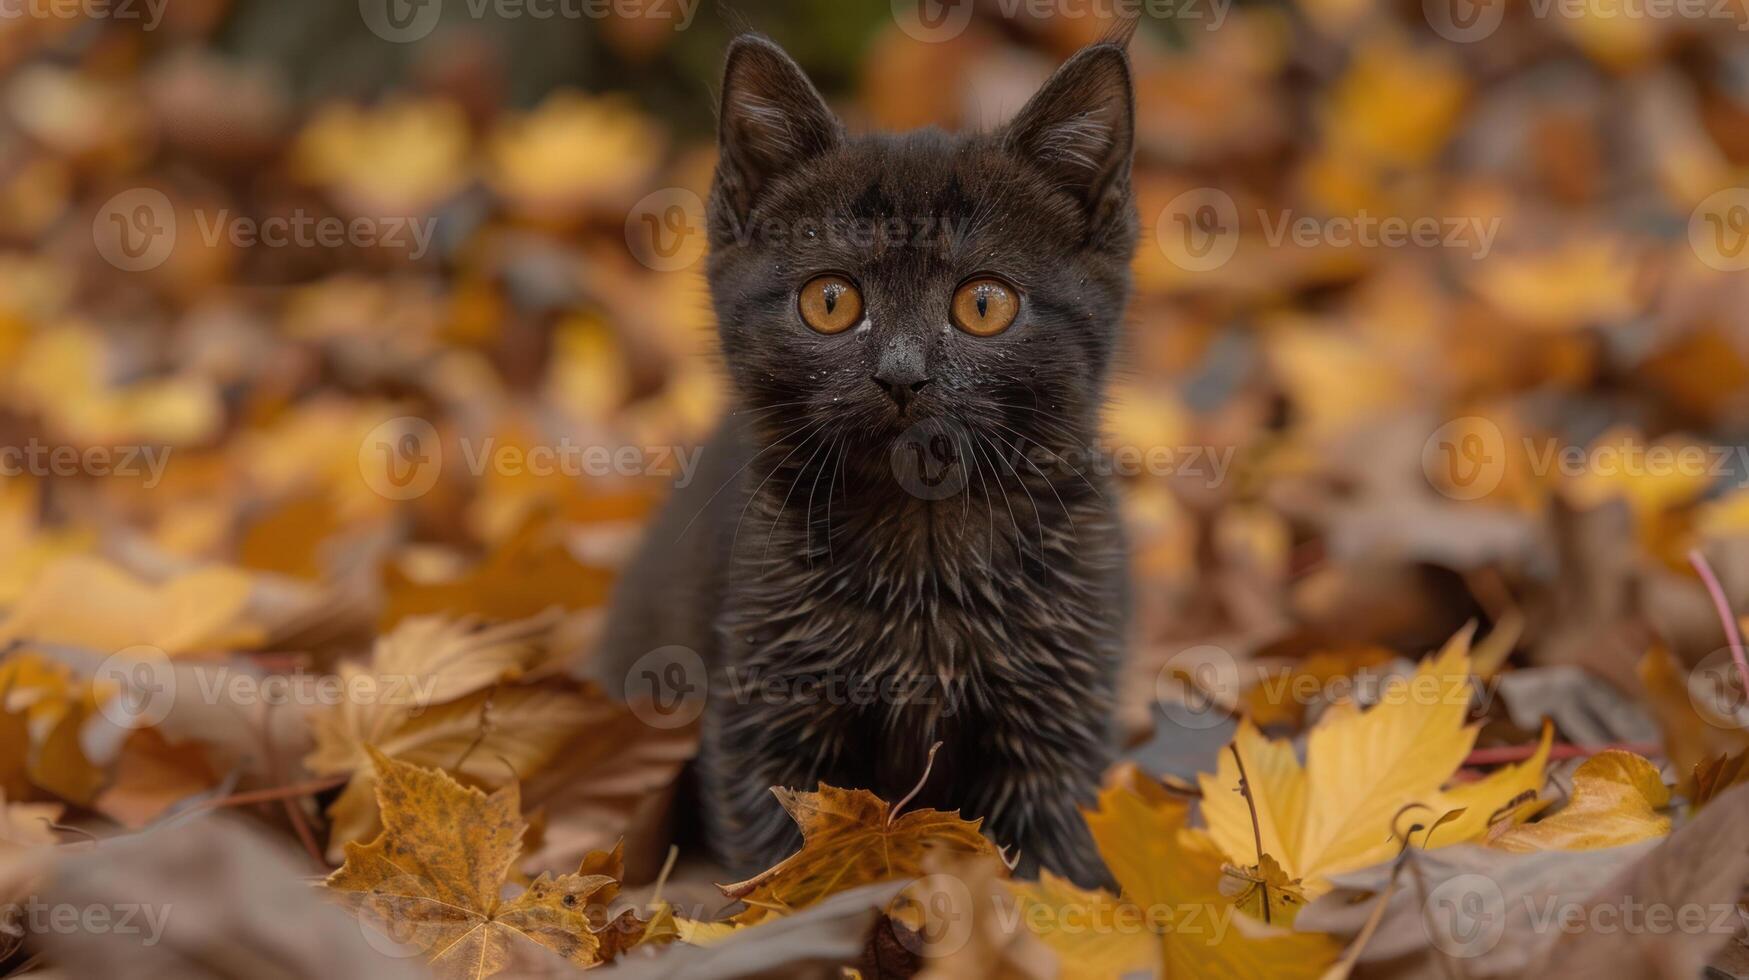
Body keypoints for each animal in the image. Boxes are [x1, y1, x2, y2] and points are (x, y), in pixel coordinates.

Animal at [601, 32, 1140, 889]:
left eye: (983, 304)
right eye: (830, 302)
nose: (901, 374)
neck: (922, 550)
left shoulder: (1062, 706)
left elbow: (1047, 867)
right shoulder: (764, 697)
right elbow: (775, 853)